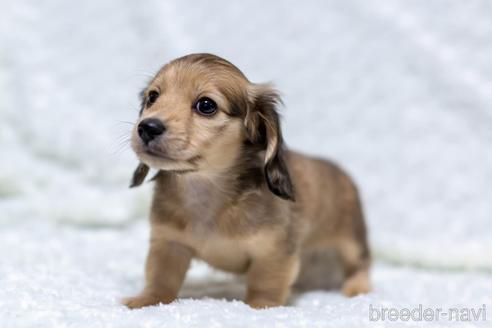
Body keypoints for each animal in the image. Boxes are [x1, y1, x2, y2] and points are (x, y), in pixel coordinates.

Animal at [123, 52, 368, 308]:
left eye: (206, 105)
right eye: (153, 97)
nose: (147, 127)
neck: (205, 192)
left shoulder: (273, 253)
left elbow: (265, 285)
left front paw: (260, 307)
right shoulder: (169, 244)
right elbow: (161, 278)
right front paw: (145, 300)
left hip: (352, 240)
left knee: (360, 264)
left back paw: (357, 288)